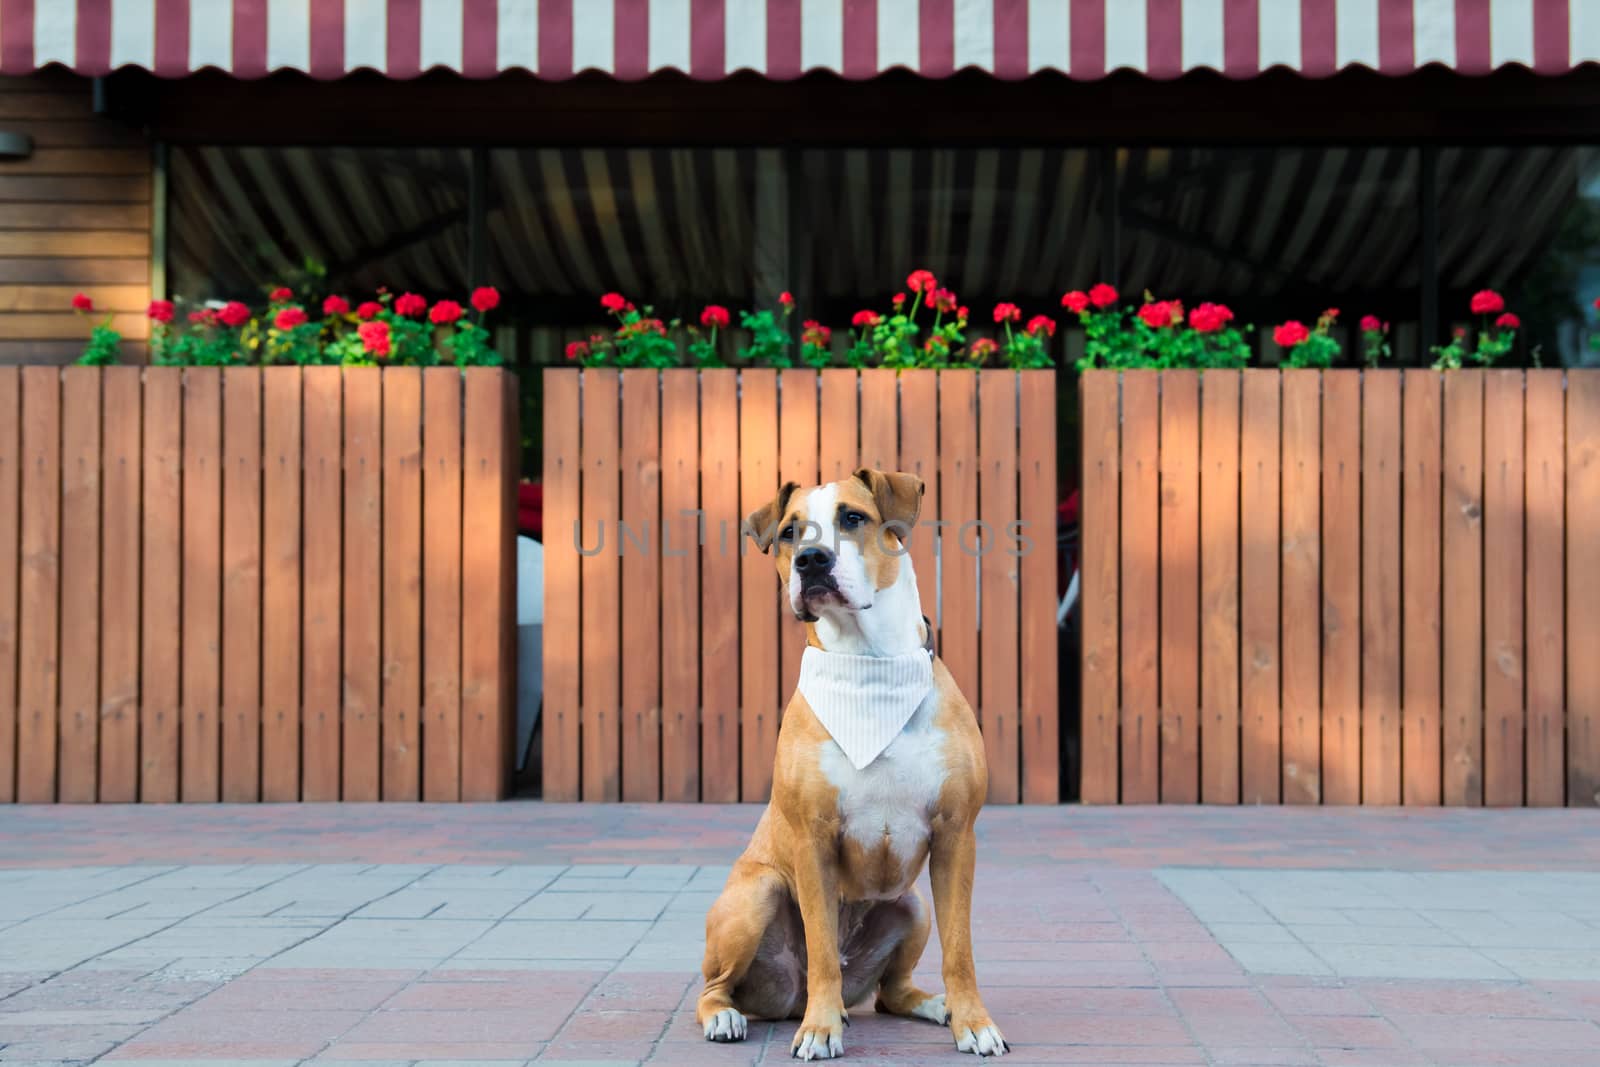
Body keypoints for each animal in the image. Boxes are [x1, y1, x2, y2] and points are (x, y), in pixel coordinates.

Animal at [694, 470, 1004, 1062]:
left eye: (853, 518)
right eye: (790, 532)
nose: (811, 560)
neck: (869, 667)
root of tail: (785, 999)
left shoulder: (957, 836)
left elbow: (961, 950)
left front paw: (974, 1023)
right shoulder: (813, 842)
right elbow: (820, 950)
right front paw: (819, 1030)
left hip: (912, 907)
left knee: (891, 993)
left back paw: (934, 1006)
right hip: (755, 894)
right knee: (716, 986)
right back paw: (730, 1016)